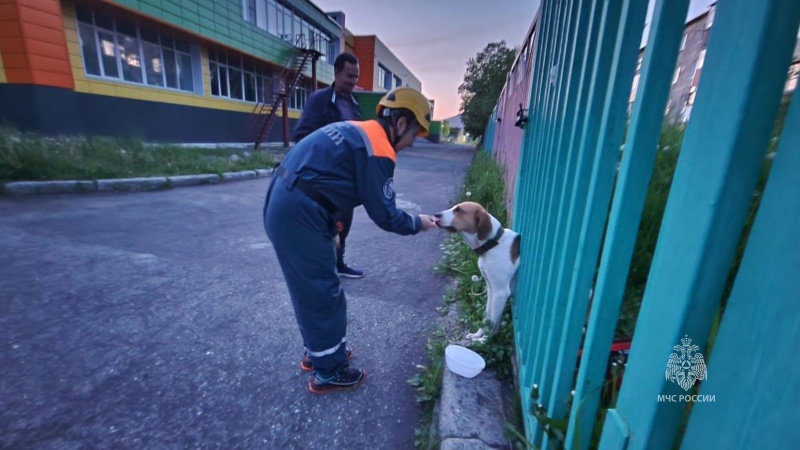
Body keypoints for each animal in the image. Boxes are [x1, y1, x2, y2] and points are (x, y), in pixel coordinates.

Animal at [434, 201, 520, 342]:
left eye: (459, 210)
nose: (436, 215)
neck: (493, 243)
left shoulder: (500, 292)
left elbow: (493, 320)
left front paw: (485, 340)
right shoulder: (491, 288)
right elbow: (487, 316)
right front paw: (479, 334)